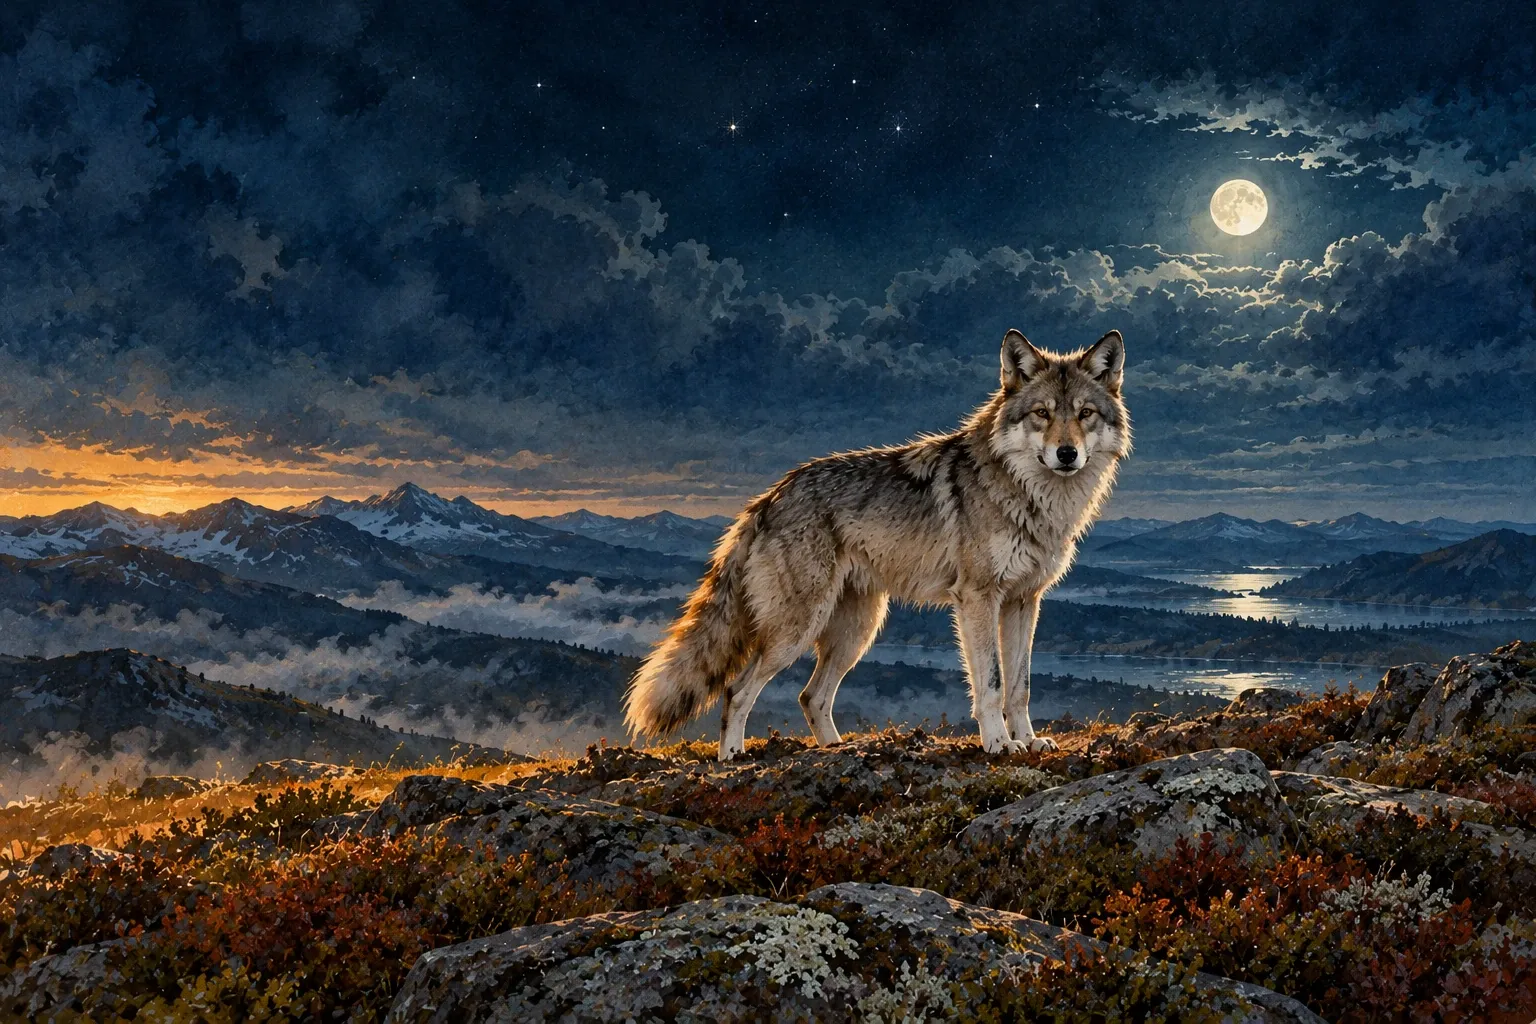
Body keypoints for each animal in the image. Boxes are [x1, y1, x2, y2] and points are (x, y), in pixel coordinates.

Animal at [626, 329, 1131, 761]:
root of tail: (768, 497)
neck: (1031, 496)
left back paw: (835, 750)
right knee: (738, 690)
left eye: (1084, 414)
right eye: (1041, 413)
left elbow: (1020, 686)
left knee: (811, 696)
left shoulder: (1024, 600)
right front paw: (998, 744)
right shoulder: (978, 598)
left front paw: (1028, 740)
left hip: (857, 630)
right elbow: (989, 683)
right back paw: (734, 757)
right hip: (797, 630)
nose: (1066, 454)